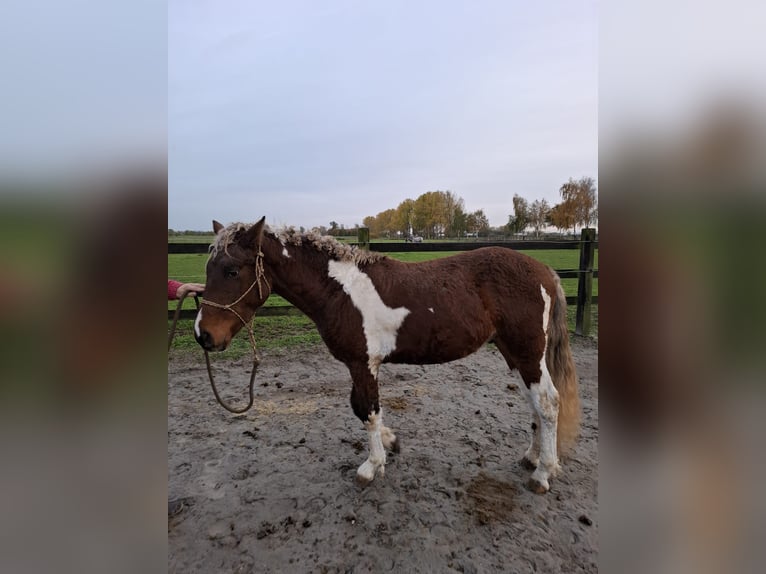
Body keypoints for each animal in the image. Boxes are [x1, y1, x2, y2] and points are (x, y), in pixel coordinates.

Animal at [194, 217, 580, 493]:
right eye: (209, 269)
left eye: (232, 270)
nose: (203, 335)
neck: (340, 290)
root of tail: (546, 272)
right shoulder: (360, 364)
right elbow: (360, 409)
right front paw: (392, 443)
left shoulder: (363, 363)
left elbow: (368, 412)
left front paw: (371, 466)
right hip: (515, 354)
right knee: (536, 405)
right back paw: (532, 458)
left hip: (528, 353)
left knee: (548, 403)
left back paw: (543, 473)